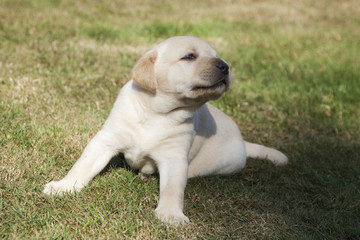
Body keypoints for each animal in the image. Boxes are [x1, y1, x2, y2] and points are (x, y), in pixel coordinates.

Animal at [43, 36, 288, 225]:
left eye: (217, 56)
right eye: (189, 57)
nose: (225, 66)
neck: (157, 113)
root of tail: (243, 142)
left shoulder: (175, 157)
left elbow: (172, 188)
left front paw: (171, 214)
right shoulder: (106, 139)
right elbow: (83, 165)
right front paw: (64, 187)